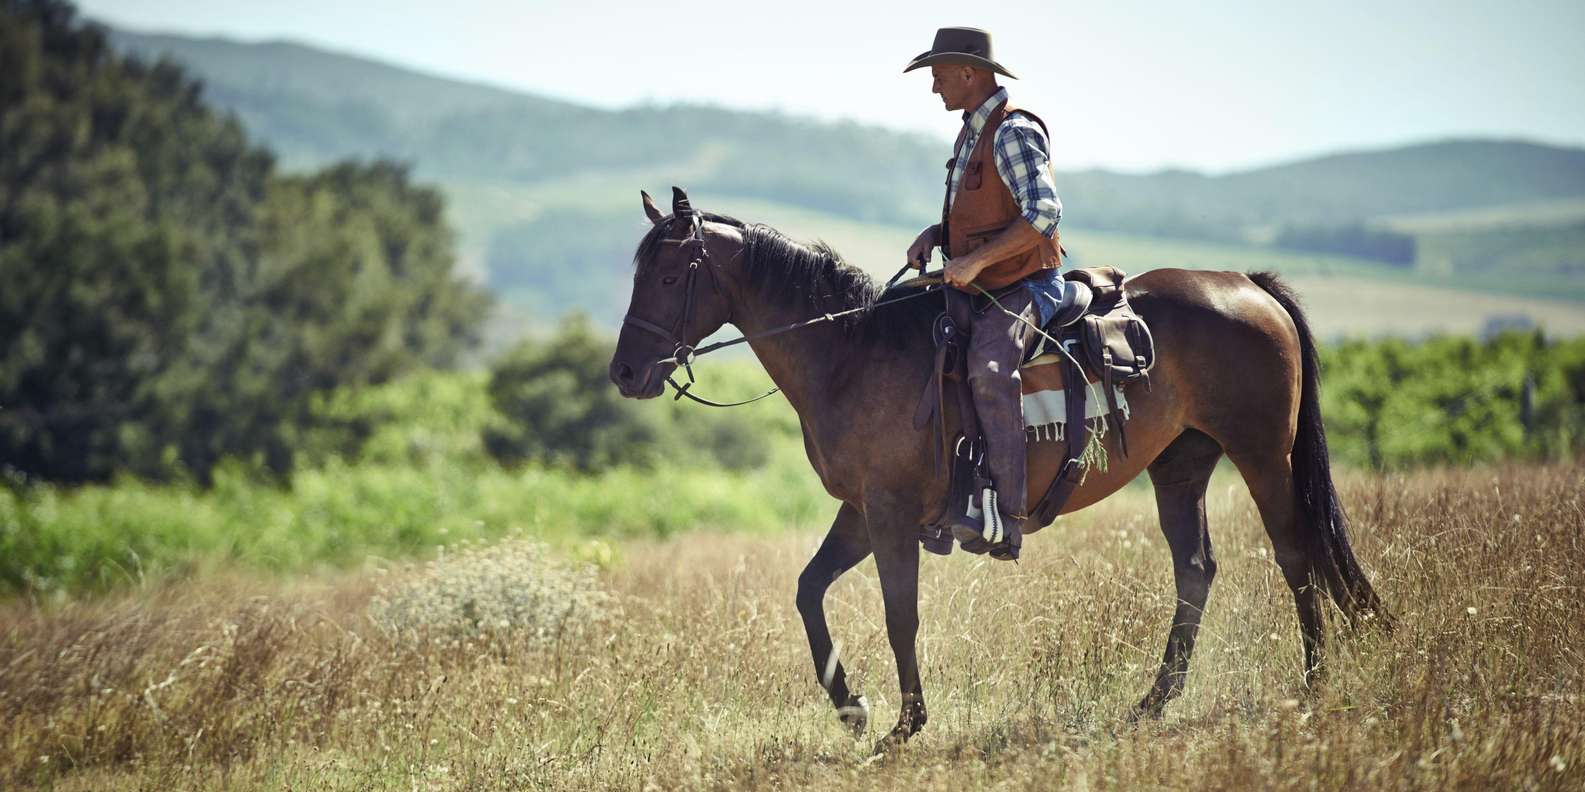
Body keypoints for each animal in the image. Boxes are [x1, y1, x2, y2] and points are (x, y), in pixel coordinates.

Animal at [609, 187, 1390, 749]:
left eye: (671, 273)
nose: (623, 373)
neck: (852, 352)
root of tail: (1245, 283)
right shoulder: (861, 510)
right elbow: (808, 592)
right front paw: (853, 708)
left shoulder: (889, 513)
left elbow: (899, 614)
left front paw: (904, 725)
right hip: (1181, 467)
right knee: (1195, 571)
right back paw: (1151, 703)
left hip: (1262, 454)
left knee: (1295, 554)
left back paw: (1312, 684)